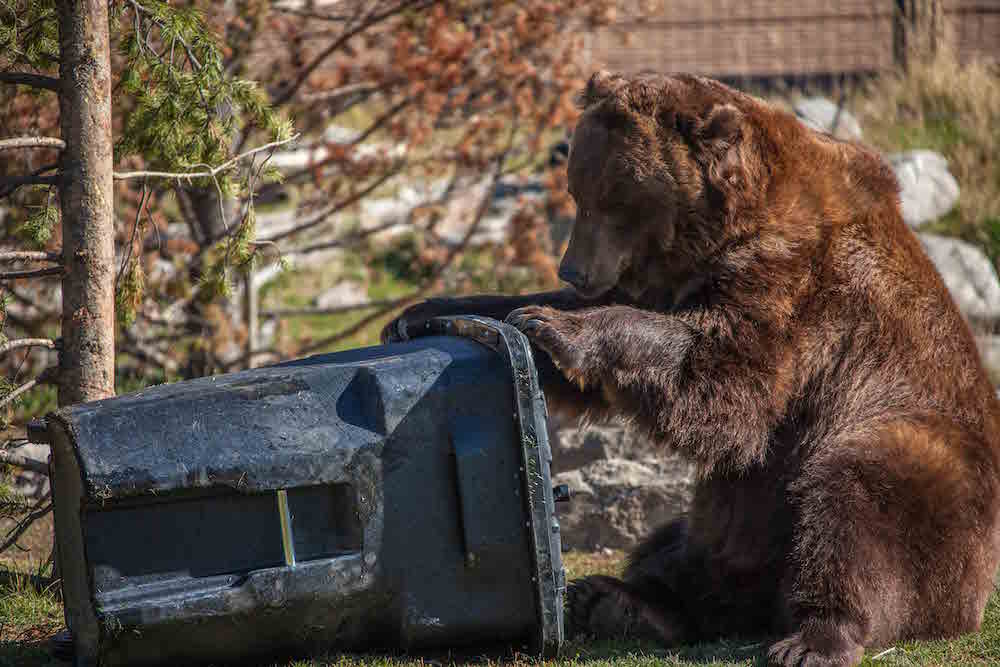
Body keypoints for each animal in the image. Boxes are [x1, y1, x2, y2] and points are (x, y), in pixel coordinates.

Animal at [380, 70, 1000, 664]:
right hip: (722, 536)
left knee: (854, 502)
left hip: (915, 456)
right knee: (682, 550)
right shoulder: (667, 279)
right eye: (577, 192)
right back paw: (623, 601)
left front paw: (553, 327)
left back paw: (814, 637)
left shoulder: (796, 284)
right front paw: (427, 314)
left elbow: (729, 383)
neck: (719, 232)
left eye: (615, 198)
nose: (573, 270)